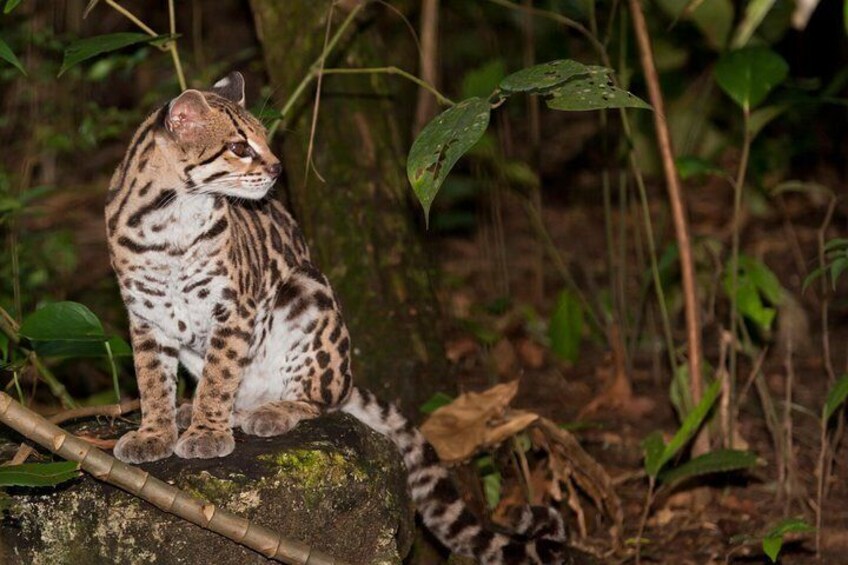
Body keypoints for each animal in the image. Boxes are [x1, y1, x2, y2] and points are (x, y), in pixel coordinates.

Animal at [104, 72, 568, 560]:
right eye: (238, 147)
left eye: (263, 138)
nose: (277, 169)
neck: (168, 219)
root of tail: (347, 375)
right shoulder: (144, 316)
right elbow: (152, 380)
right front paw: (154, 431)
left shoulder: (235, 306)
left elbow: (220, 375)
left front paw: (207, 430)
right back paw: (192, 409)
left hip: (306, 292)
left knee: (321, 397)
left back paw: (270, 410)